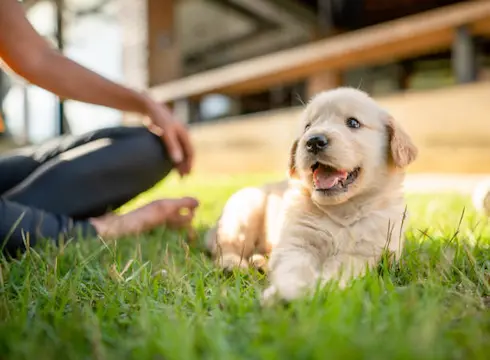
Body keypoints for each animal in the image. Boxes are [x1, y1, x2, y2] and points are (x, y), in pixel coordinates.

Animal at [205, 87, 416, 304]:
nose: (314, 141)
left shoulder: (366, 252)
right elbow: (295, 267)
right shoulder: (296, 242)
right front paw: (285, 292)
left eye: (353, 122)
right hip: (242, 213)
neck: (342, 210)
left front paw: (317, 292)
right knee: (226, 247)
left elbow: (337, 271)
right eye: (308, 126)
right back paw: (233, 265)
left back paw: (259, 262)